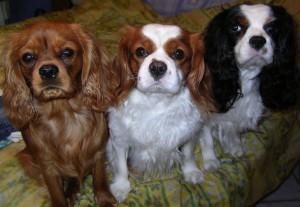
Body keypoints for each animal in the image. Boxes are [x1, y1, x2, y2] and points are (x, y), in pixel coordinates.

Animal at [199, 4, 298, 171]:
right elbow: (206, 138)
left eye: (271, 28)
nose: (258, 40)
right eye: (235, 27)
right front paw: (210, 160)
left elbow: (233, 129)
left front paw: (234, 146)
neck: (243, 78)